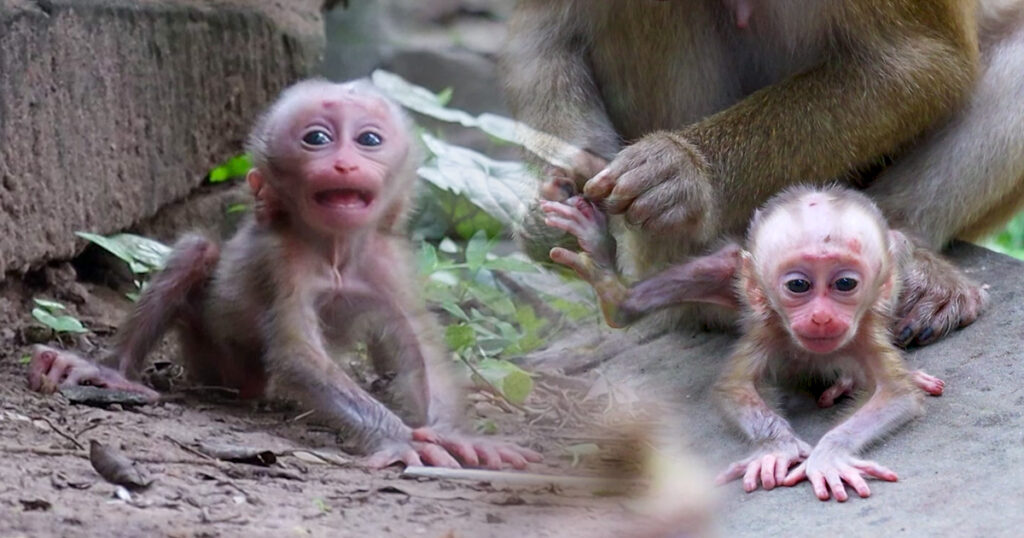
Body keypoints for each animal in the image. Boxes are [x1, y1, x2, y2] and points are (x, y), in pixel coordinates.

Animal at [27, 79, 542, 470]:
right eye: (316, 138)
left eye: (369, 140)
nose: (343, 163)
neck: (336, 253)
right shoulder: (282, 259)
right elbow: (297, 354)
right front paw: (400, 438)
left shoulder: (386, 261)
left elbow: (421, 346)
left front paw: (456, 434)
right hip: (211, 357)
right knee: (198, 251)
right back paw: (111, 371)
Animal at [549, 185, 946, 501]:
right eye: (798, 285)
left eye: (845, 284)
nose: (821, 317)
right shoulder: (767, 330)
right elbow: (735, 388)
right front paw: (776, 448)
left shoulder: (864, 336)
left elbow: (897, 395)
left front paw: (829, 455)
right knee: (724, 263)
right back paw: (617, 296)